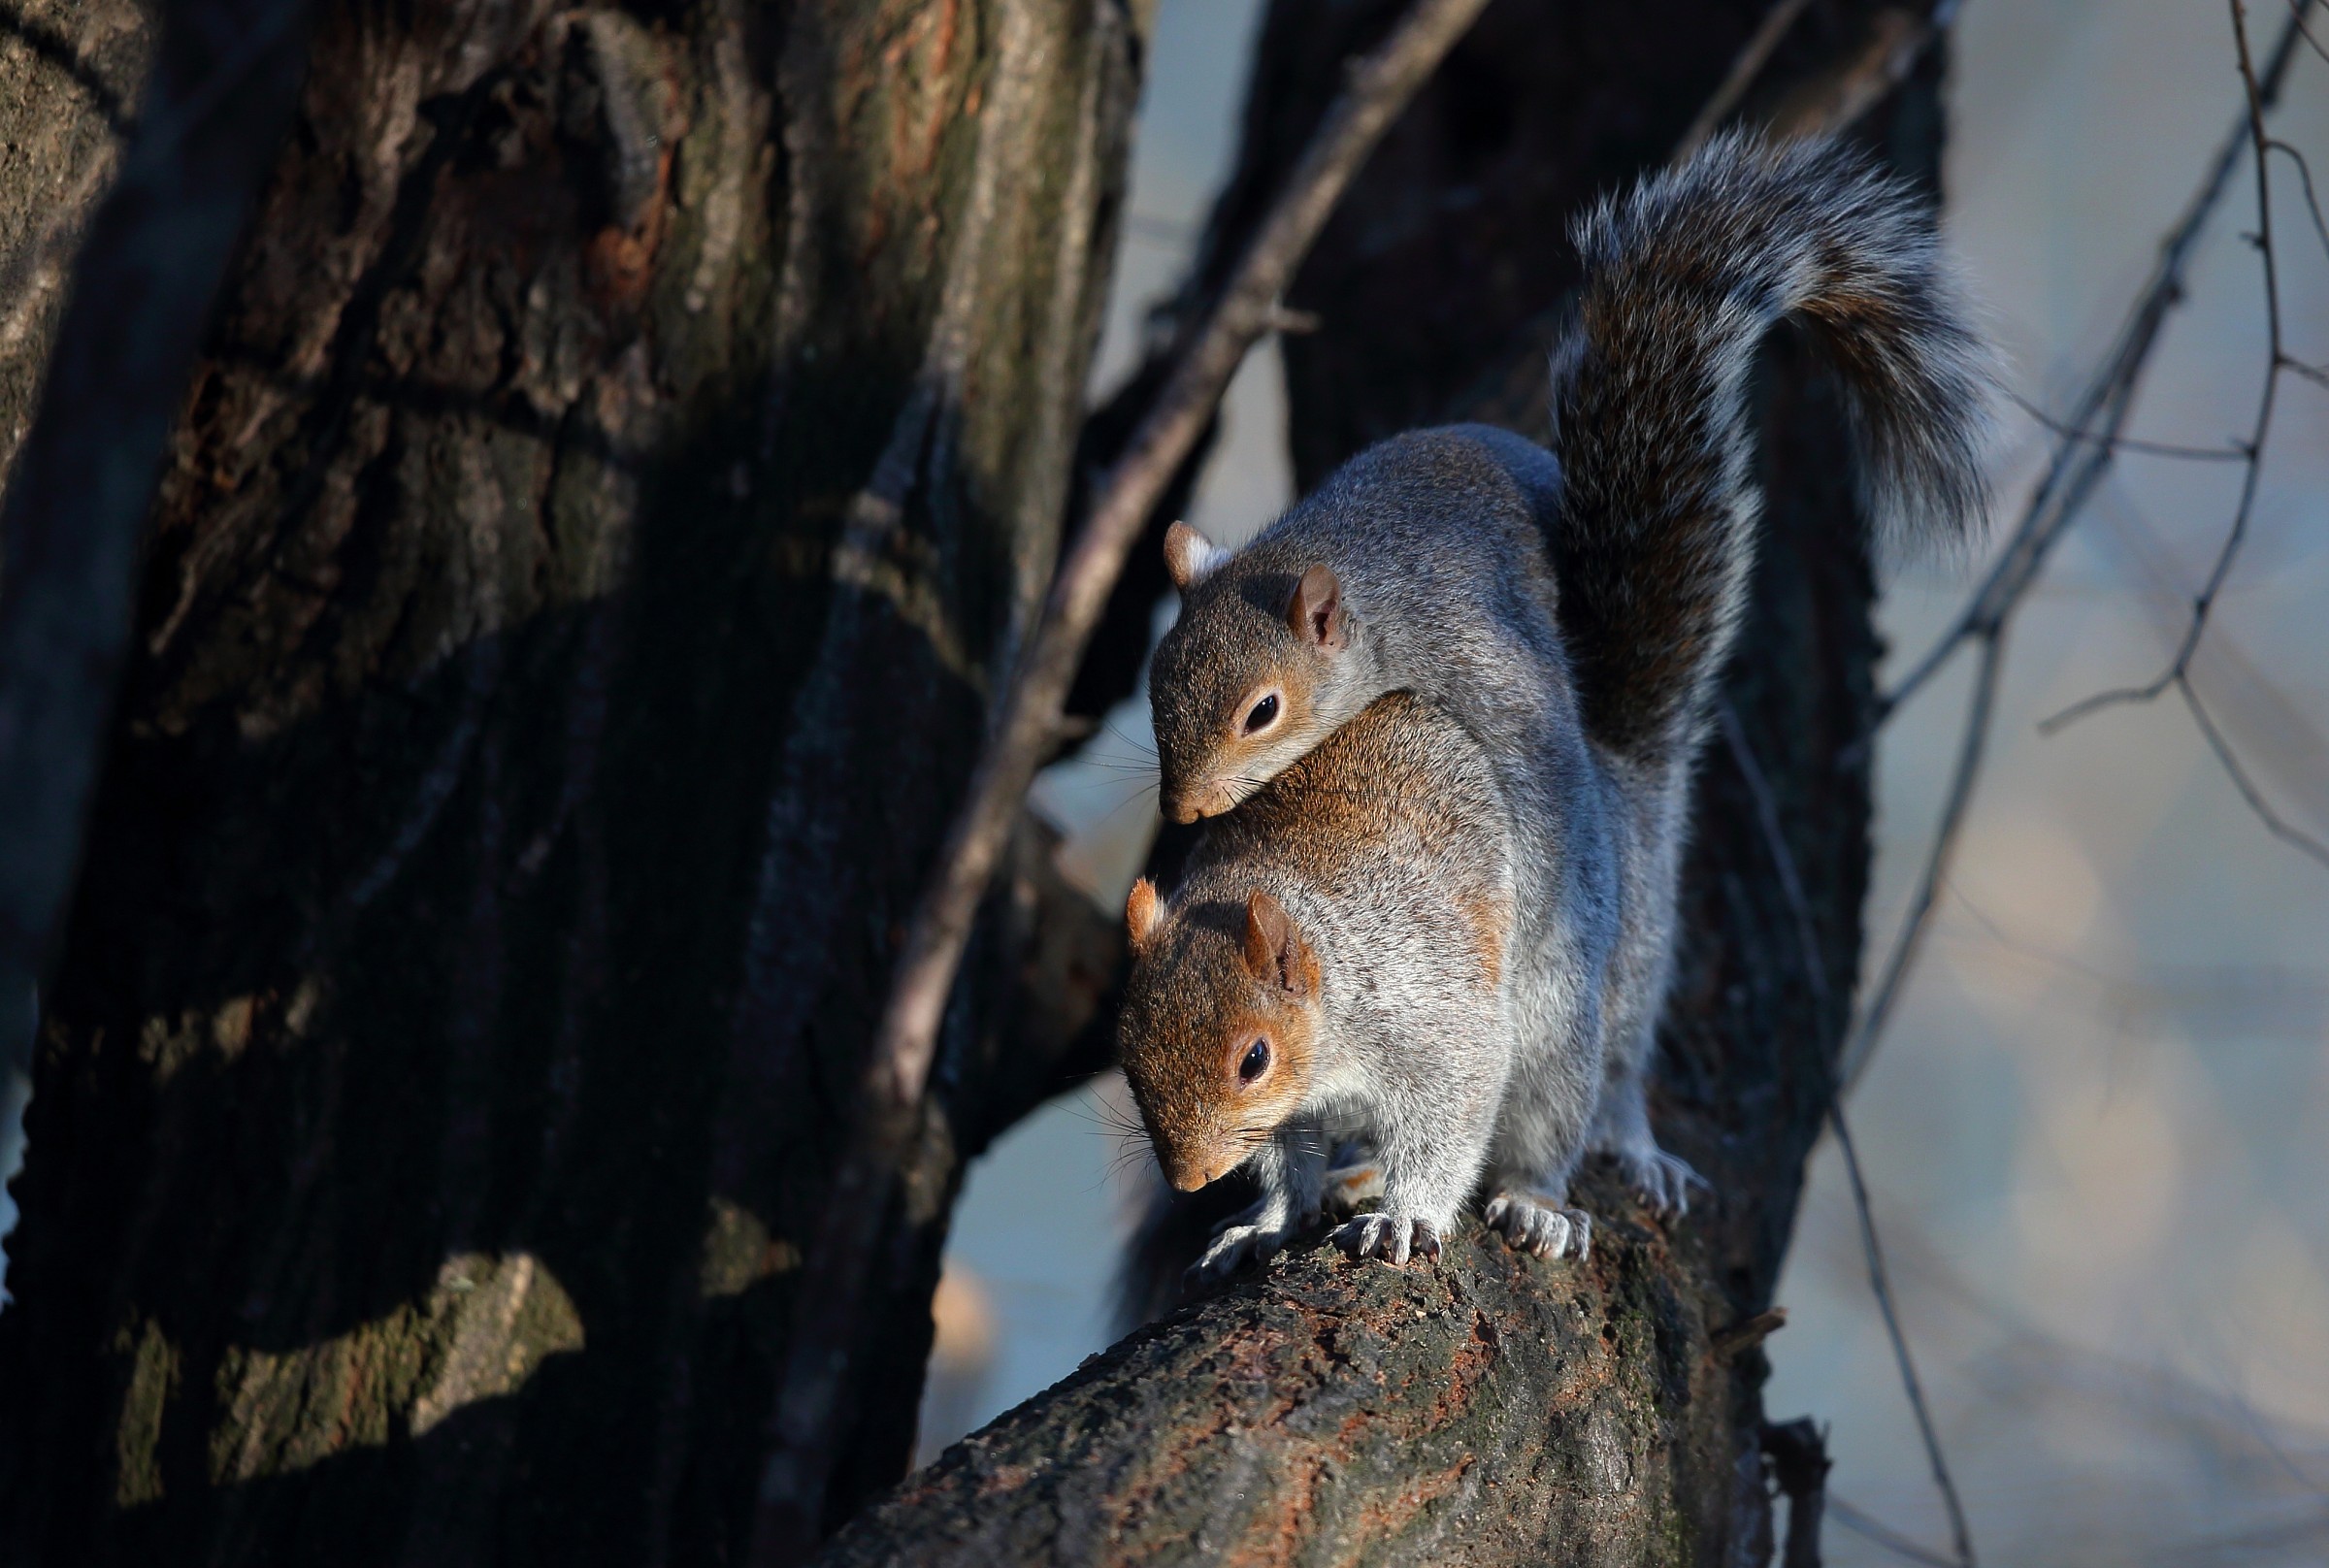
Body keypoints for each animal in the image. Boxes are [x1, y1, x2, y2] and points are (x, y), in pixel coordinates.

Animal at [1119, 132, 1995, 1271]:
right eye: (1129, 1051)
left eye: (1253, 1057)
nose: (1186, 1177)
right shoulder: (1300, 1110)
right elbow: (1288, 1165)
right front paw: (1264, 1216)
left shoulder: (1439, 1014)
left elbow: (1449, 1121)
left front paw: (1407, 1209)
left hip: (1571, 1007)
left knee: (1572, 1094)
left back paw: (1546, 1186)